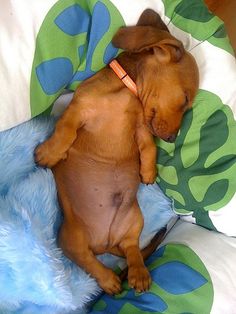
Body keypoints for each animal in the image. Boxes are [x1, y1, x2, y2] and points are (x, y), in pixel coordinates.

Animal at [34, 9, 198, 294]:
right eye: (186, 99)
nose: (172, 138)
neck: (127, 91)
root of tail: (105, 243)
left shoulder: (141, 129)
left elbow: (148, 146)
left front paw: (148, 171)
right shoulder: (78, 111)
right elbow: (65, 131)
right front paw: (50, 153)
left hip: (134, 220)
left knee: (132, 249)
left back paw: (138, 274)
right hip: (69, 236)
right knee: (85, 259)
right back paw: (109, 279)